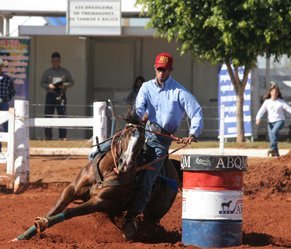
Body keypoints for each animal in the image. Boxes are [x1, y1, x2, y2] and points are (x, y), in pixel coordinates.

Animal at [13, 123, 180, 240]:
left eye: (141, 142)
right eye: (125, 136)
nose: (125, 164)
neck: (107, 170)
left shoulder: (99, 201)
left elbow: (69, 211)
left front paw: (43, 223)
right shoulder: (71, 189)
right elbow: (55, 209)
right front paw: (26, 234)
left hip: (154, 214)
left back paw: (130, 231)